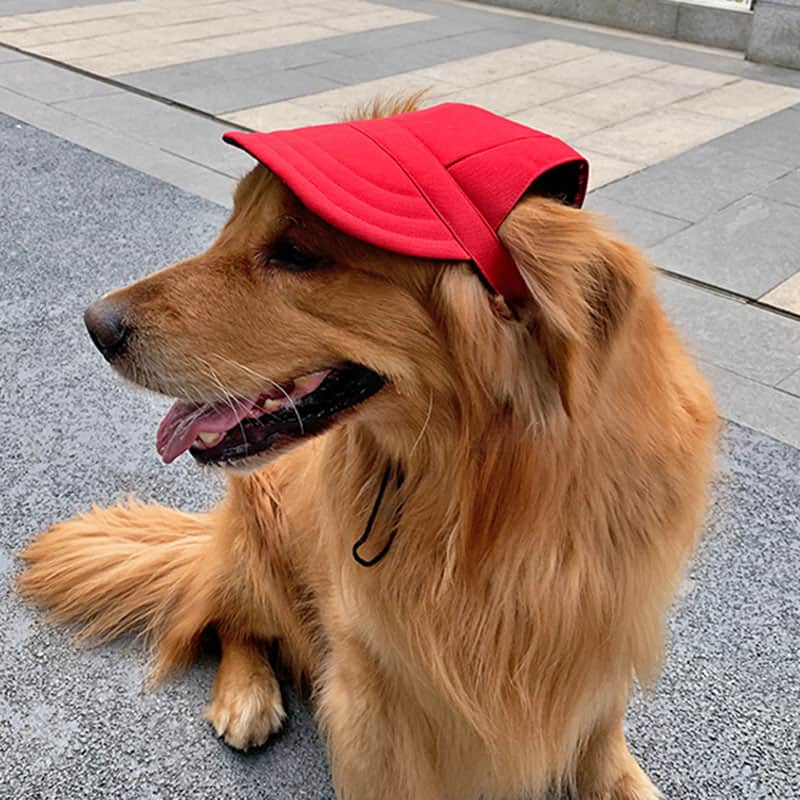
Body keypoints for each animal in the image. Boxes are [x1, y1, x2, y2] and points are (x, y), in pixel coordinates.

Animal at [19, 98, 717, 800]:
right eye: (234, 221)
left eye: (296, 254)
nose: (96, 324)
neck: (481, 494)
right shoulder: (374, 694)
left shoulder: (606, 641)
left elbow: (603, 743)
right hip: (260, 527)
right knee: (228, 618)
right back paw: (246, 696)